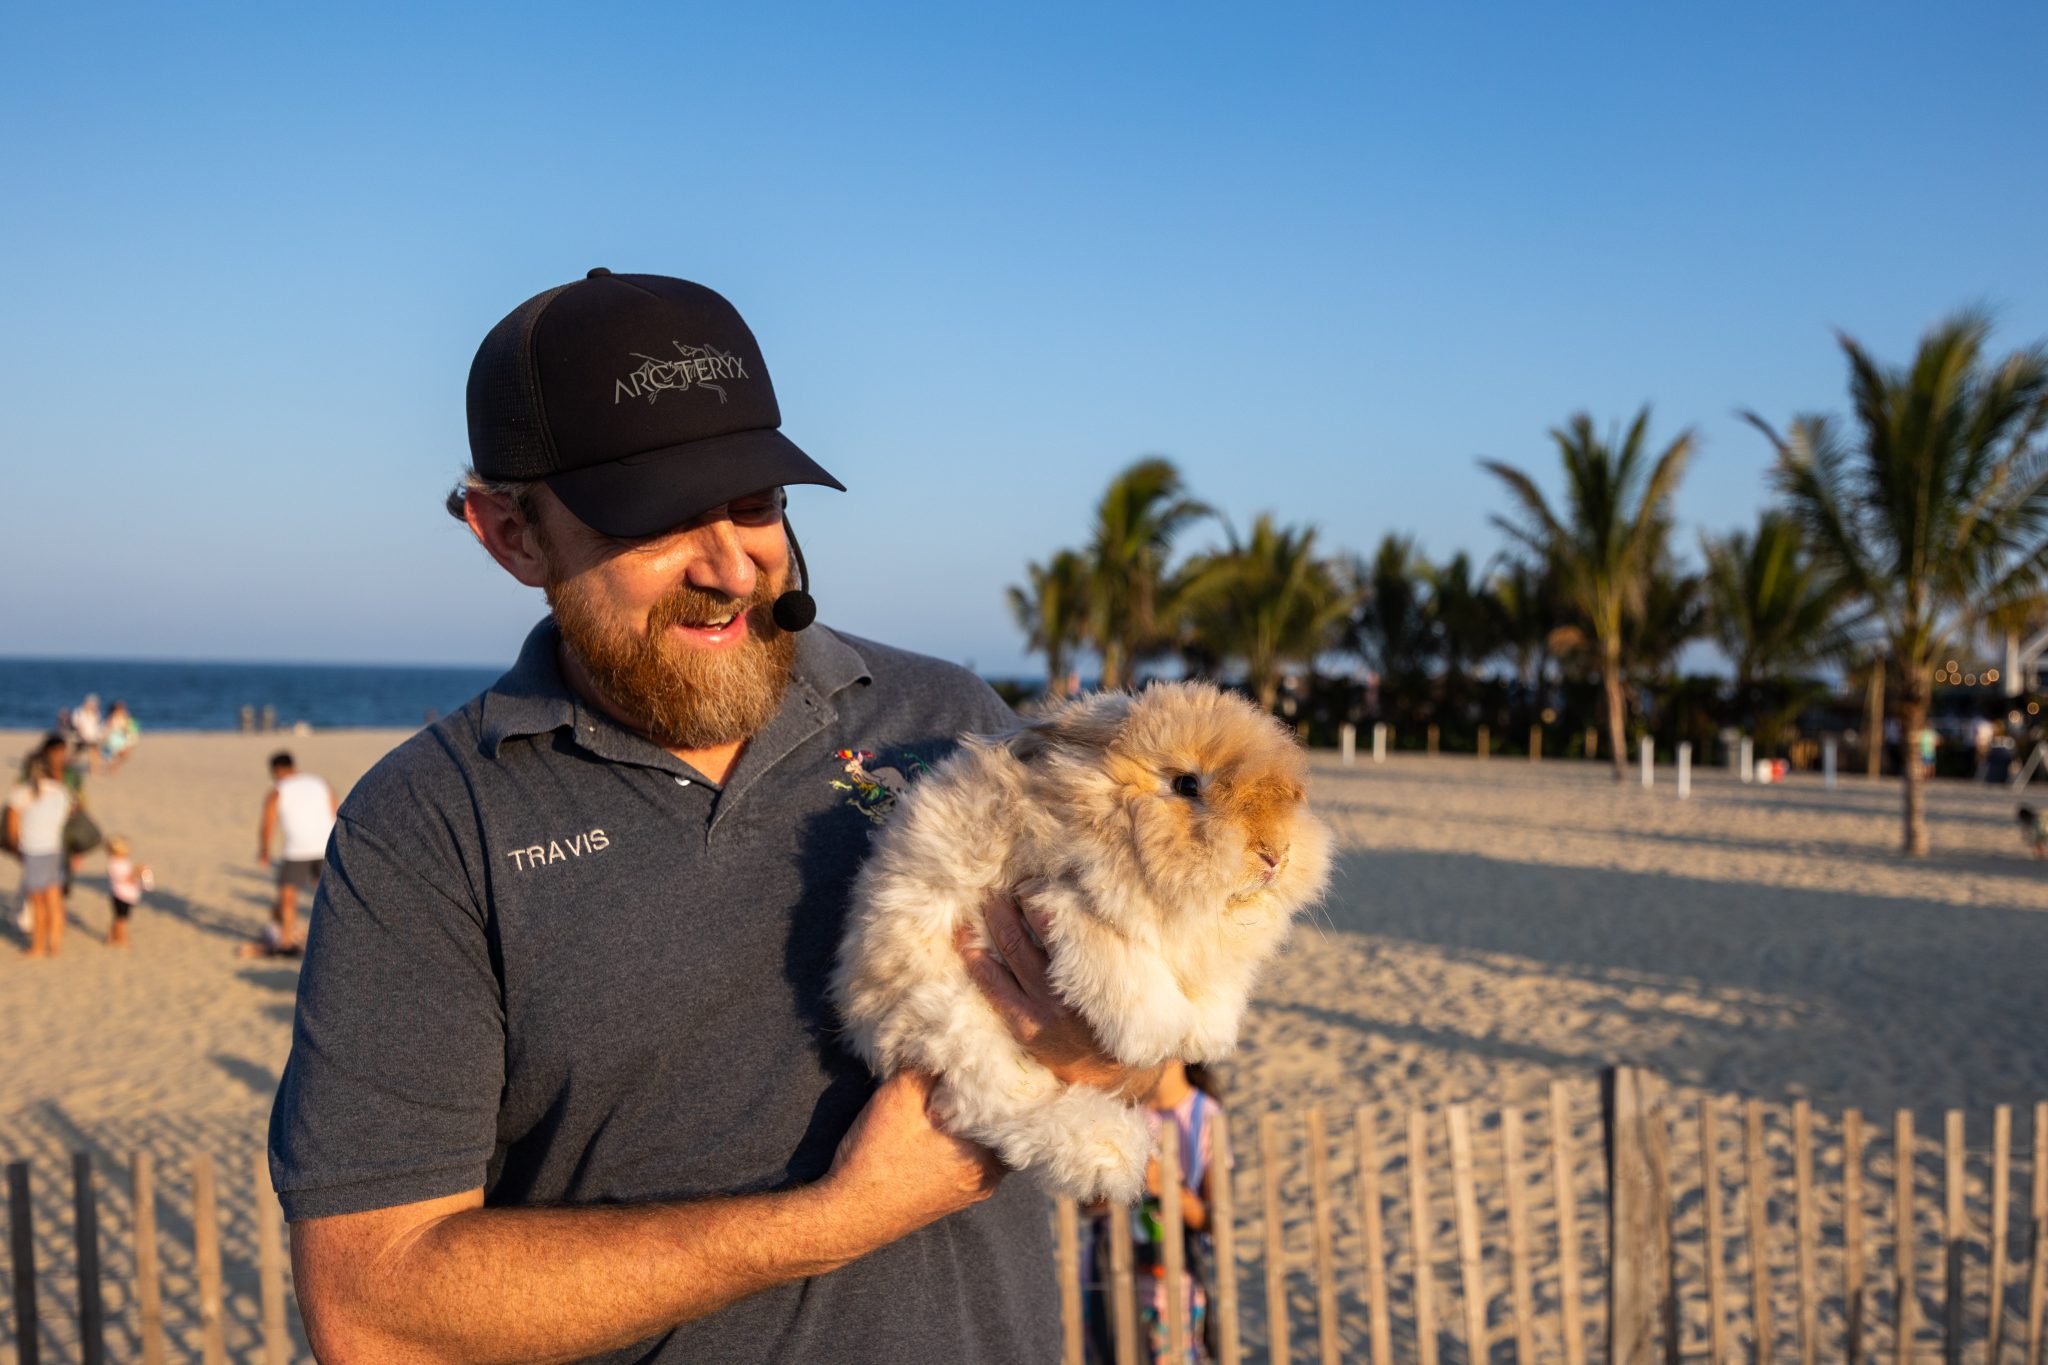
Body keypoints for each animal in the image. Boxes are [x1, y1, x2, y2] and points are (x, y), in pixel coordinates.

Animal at [829, 680, 1334, 1204]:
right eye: (1187, 785)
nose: (1275, 856)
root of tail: (862, 1022)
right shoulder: (1058, 898)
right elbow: (1120, 957)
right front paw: (1157, 1033)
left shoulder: (1206, 951)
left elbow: (1216, 986)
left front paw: (1208, 1033)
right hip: (957, 1019)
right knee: (1000, 1106)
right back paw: (1110, 1151)